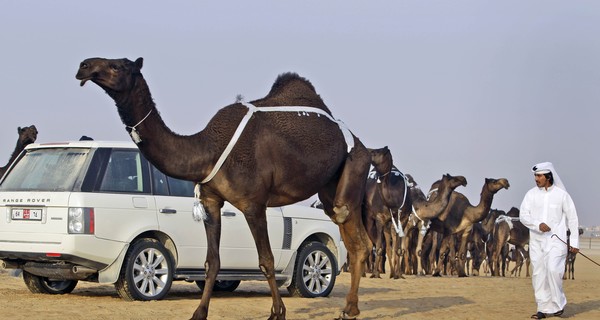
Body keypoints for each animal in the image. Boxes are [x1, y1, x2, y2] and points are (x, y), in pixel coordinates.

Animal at [76, 57, 370, 320]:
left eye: (117, 66)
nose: (84, 66)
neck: (207, 150)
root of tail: (359, 142)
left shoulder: (254, 204)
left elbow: (266, 260)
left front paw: (277, 313)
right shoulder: (210, 202)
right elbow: (212, 262)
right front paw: (199, 313)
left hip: (354, 165)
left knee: (352, 231)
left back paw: (349, 309)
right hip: (329, 188)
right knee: (354, 238)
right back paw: (350, 308)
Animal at [360, 146, 412, 278]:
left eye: (375, 152)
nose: (365, 150)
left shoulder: (402, 219)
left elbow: (398, 249)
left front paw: (399, 275)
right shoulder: (380, 218)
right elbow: (378, 247)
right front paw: (375, 274)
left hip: (389, 224)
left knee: (388, 246)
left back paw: (392, 273)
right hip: (368, 218)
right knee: (371, 243)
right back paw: (364, 272)